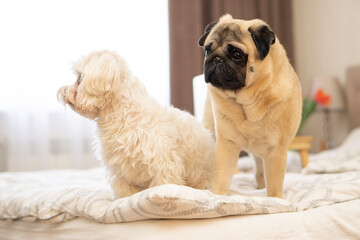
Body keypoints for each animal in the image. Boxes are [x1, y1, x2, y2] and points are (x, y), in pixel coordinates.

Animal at [56, 50, 214, 197]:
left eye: (79, 78)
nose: (62, 92)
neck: (122, 115)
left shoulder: (163, 164)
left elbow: (163, 186)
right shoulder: (121, 172)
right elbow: (126, 193)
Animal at [198, 15, 302, 199]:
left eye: (237, 54)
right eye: (208, 51)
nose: (216, 59)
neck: (247, 102)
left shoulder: (277, 150)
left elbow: (274, 184)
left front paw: (276, 201)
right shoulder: (227, 145)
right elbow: (222, 175)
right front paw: (217, 196)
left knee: (260, 171)